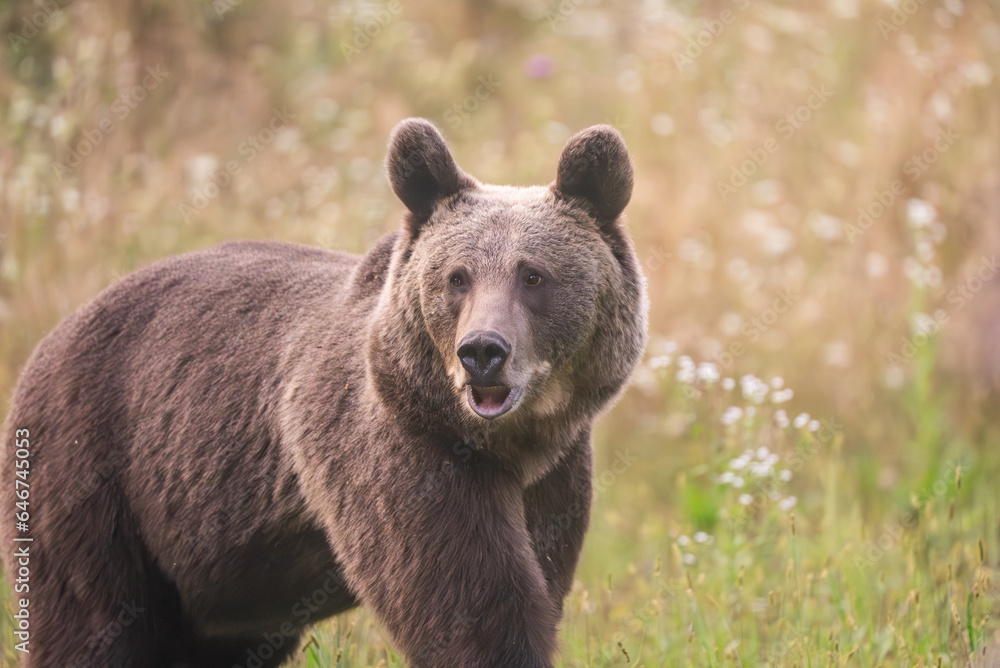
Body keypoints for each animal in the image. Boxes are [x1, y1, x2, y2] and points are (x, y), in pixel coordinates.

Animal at [0, 118, 647, 667]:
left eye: (533, 275)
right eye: (457, 277)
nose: (482, 352)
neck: (507, 444)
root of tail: (49, 343)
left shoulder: (554, 476)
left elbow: (538, 574)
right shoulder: (400, 452)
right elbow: (470, 605)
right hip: (97, 481)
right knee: (94, 626)